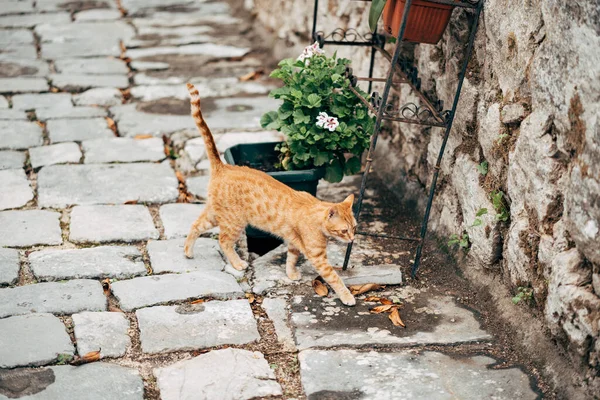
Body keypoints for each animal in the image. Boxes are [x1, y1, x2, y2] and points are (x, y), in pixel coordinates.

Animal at [184, 83, 356, 304]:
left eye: (355, 228)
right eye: (344, 231)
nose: (352, 240)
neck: (316, 214)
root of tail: (224, 166)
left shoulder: (293, 242)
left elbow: (291, 258)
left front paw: (290, 274)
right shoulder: (318, 257)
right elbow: (335, 278)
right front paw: (347, 296)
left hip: (216, 214)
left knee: (195, 225)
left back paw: (188, 252)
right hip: (234, 223)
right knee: (224, 241)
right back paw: (237, 263)